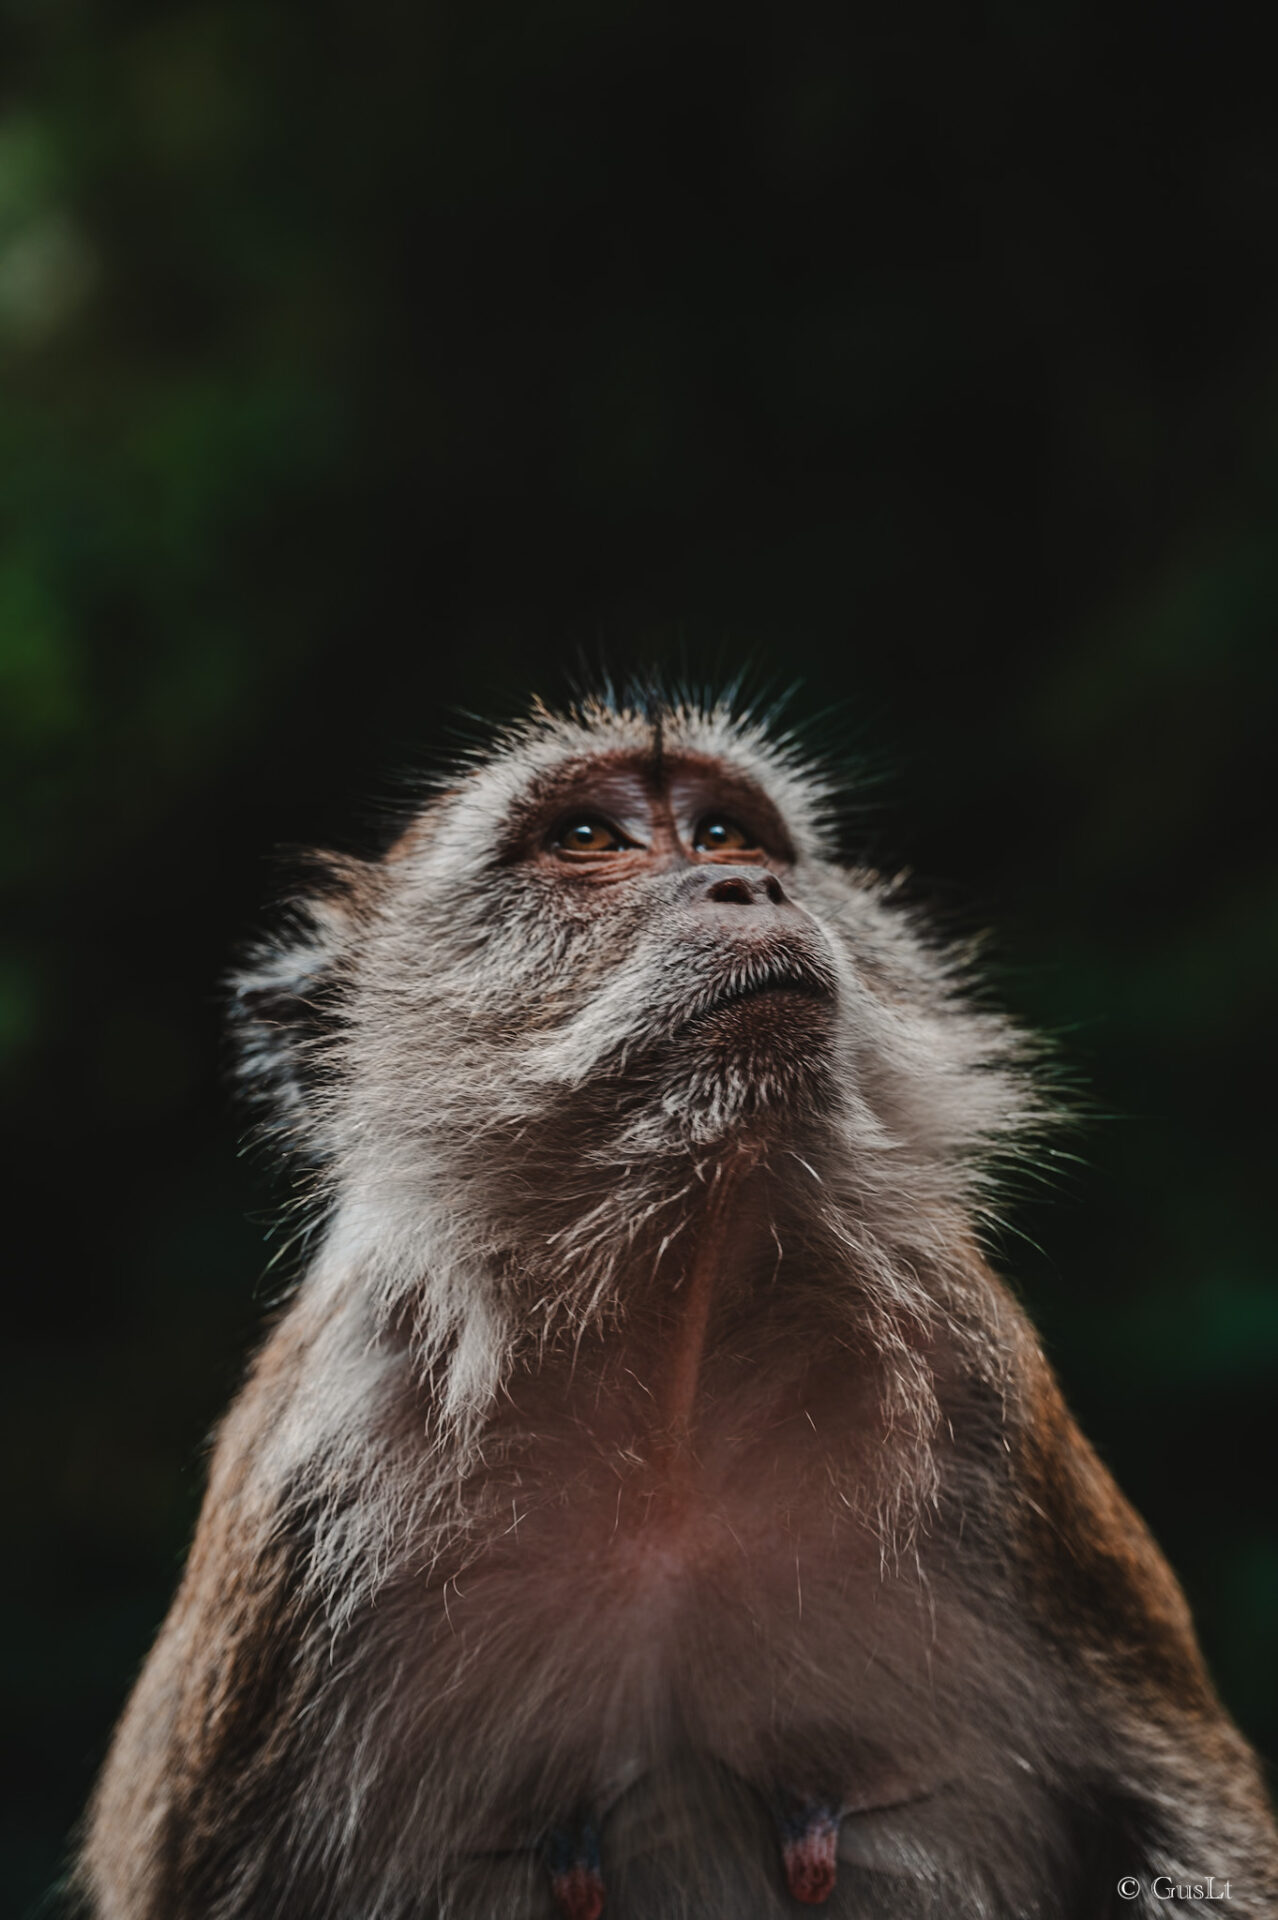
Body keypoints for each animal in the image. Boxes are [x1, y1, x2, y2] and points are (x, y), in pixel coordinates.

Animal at [77, 695, 1274, 1920]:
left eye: (725, 835)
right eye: (587, 840)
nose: (747, 888)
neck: (671, 1385)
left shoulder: (983, 1385)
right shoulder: (309, 1475)